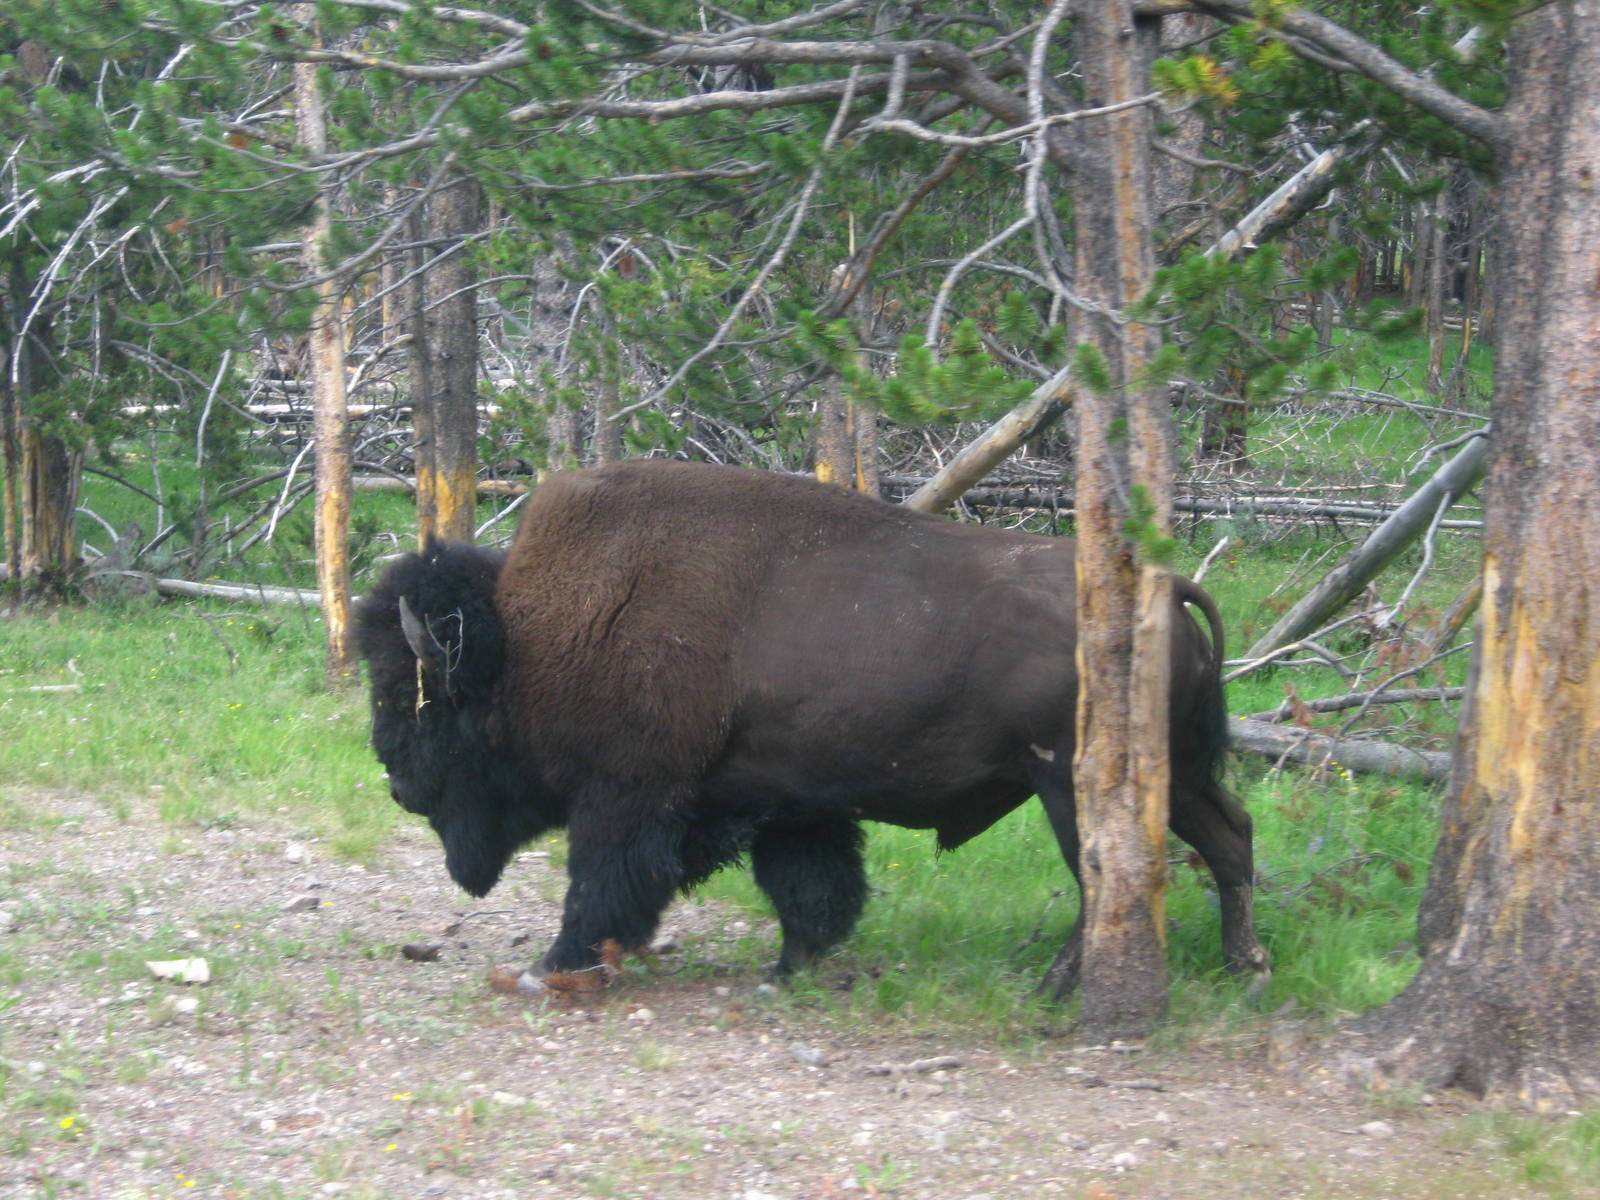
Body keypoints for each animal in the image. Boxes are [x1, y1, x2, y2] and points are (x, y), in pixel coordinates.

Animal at [355, 460, 1266, 994]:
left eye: (410, 696)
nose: (396, 785)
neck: (531, 636)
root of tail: (1165, 589)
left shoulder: (626, 796)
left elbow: (602, 883)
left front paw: (556, 966)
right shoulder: (787, 805)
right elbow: (810, 888)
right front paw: (793, 965)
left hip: (1068, 782)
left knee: (1104, 877)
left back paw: (1055, 987)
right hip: (1174, 770)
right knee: (1227, 838)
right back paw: (1242, 969)